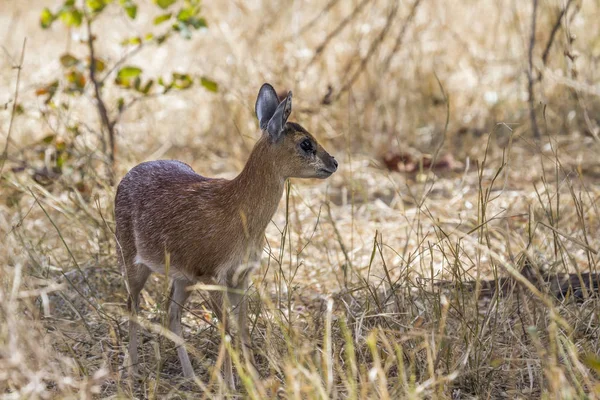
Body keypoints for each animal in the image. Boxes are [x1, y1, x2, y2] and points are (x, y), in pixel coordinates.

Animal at [113, 83, 338, 386]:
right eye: (306, 143)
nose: (334, 162)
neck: (239, 214)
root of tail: (125, 177)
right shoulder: (213, 274)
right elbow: (226, 332)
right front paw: (231, 385)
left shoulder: (240, 276)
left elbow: (242, 330)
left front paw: (253, 380)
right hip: (131, 259)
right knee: (132, 305)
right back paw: (132, 371)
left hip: (183, 276)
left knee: (171, 313)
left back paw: (190, 377)